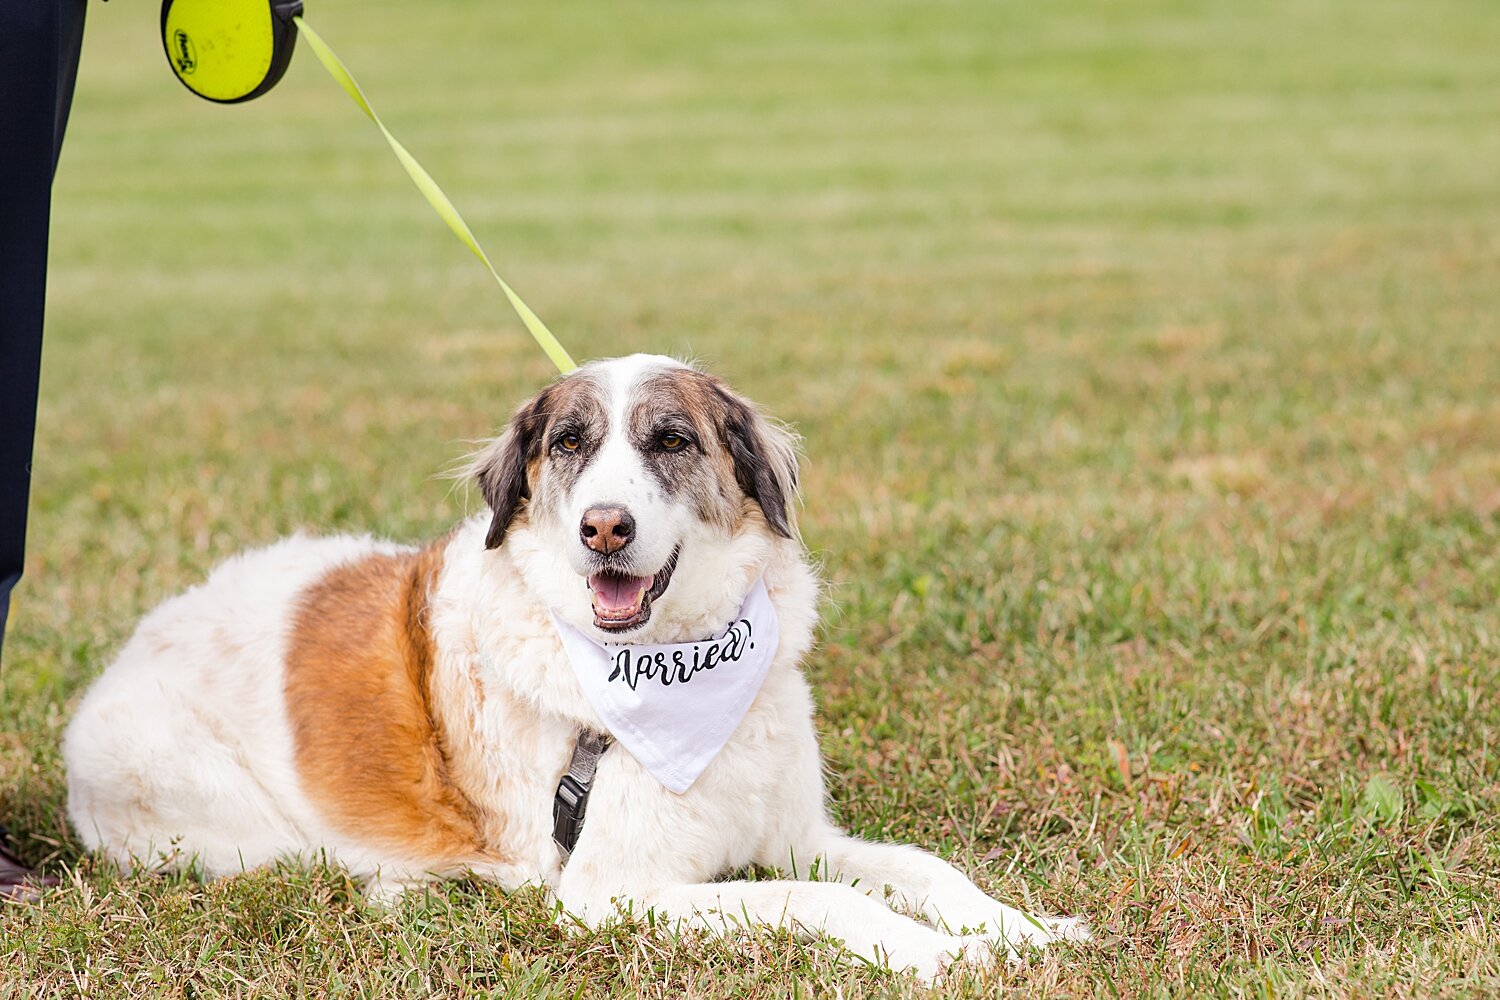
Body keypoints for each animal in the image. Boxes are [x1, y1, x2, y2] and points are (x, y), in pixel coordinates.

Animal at [64, 353, 1086, 983]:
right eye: (569, 444)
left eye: (671, 440)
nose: (605, 527)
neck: (671, 664)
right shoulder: (614, 894)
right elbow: (819, 900)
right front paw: (937, 956)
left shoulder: (796, 832)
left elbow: (922, 868)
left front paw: (1020, 929)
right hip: (233, 826)